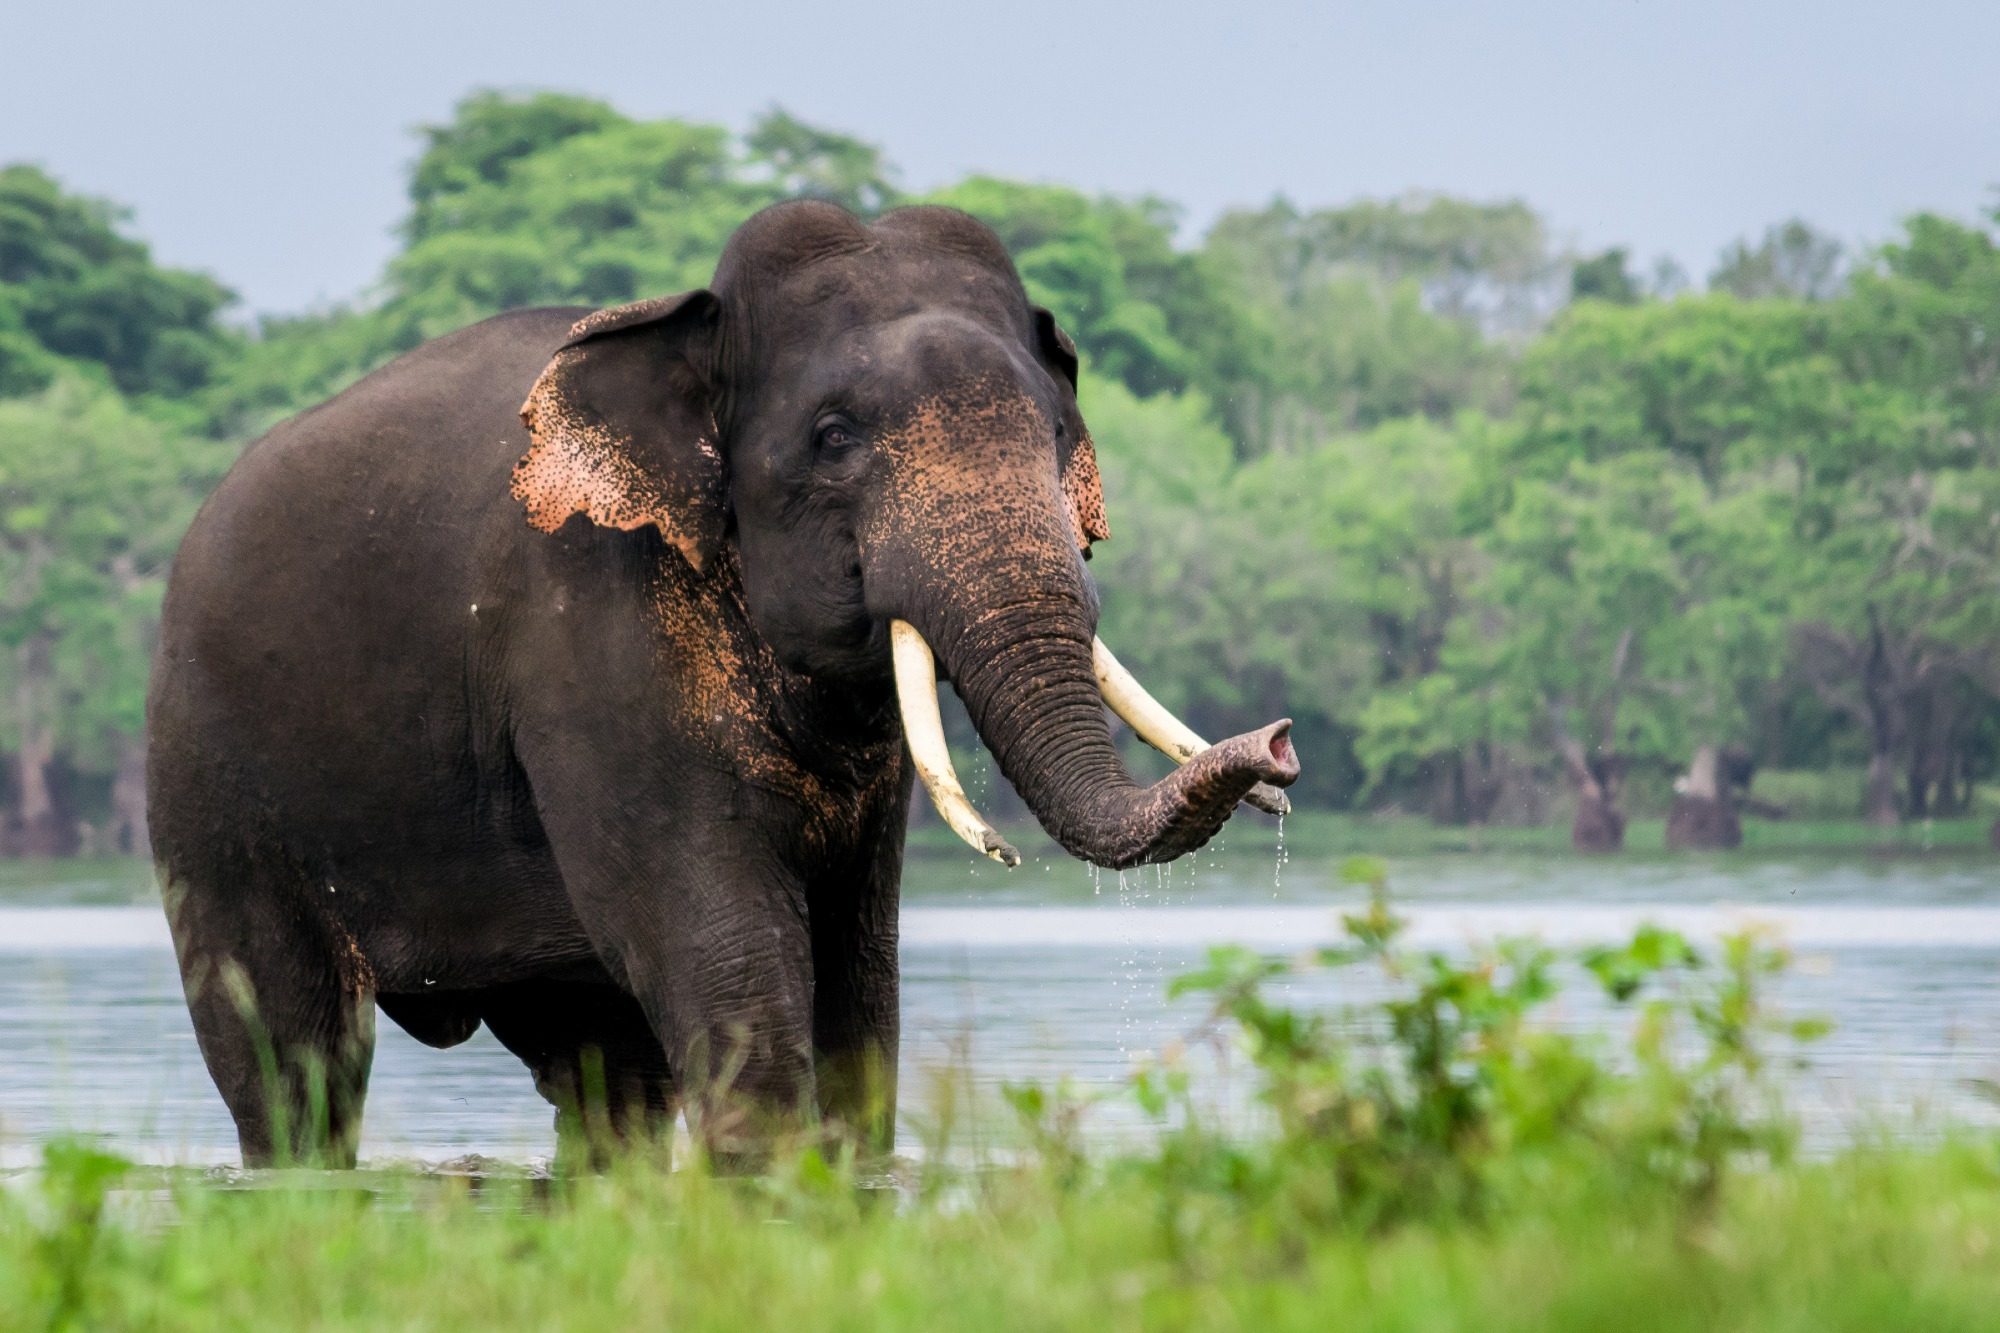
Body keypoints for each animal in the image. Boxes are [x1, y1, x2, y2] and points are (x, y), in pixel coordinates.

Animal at [147, 200, 1300, 1168]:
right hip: (208, 781)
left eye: (1057, 436)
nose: (1280, 748)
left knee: (598, 1069)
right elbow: (717, 940)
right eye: (833, 439)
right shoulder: (588, 637)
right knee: (290, 1061)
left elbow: (857, 971)